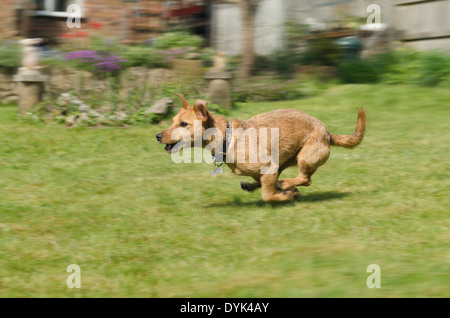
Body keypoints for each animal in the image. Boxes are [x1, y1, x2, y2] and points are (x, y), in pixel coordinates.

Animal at [156, 93, 366, 202]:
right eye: (172, 121)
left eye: (183, 124)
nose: (157, 136)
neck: (228, 137)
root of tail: (328, 131)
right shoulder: (269, 169)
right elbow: (265, 185)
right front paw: (283, 192)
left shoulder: (269, 167)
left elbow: (268, 195)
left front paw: (287, 195)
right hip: (287, 160)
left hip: (305, 157)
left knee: (305, 179)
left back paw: (287, 185)